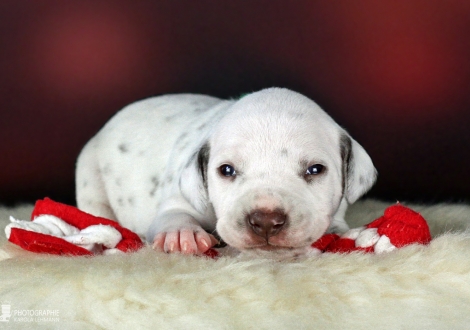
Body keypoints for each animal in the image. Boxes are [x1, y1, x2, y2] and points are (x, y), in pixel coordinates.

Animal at [77, 89, 378, 260]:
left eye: (315, 169)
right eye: (226, 170)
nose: (266, 221)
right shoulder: (181, 196)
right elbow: (174, 213)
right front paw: (182, 234)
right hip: (89, 175)